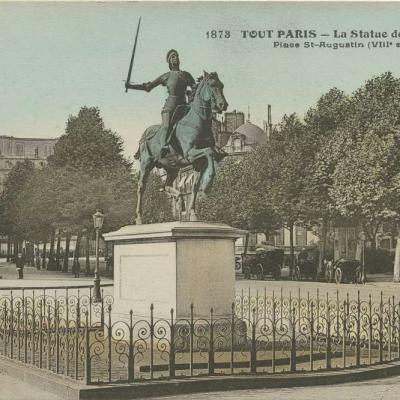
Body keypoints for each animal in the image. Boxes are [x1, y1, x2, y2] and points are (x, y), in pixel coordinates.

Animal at [134, 70, 228, 223]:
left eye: (222, 85)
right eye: (212, 85)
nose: (223, 105)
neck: (198, 121)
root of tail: (144, 135)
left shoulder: (198, 163)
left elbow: (195, 186)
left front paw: (193, 213)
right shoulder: (190, 154)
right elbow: (209, 152)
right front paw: (207, 185)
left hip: (171, 167)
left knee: (166, 185)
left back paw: (178, 198)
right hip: (146, 164)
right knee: (141, 187)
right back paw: (139, 218)